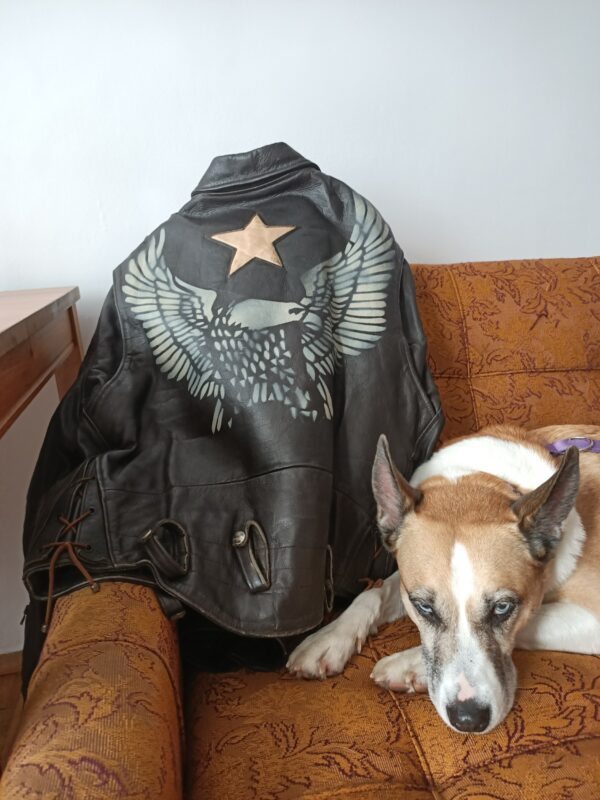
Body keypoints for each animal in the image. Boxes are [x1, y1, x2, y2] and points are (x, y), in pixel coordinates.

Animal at [287, 424, 600, 734]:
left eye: (503, 608)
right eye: (424, 608)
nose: (469, 719)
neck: (482, 477)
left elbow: (533, 622)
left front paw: (407, 664)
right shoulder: (408, 584)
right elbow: (373, 593)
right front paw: (328, 638)